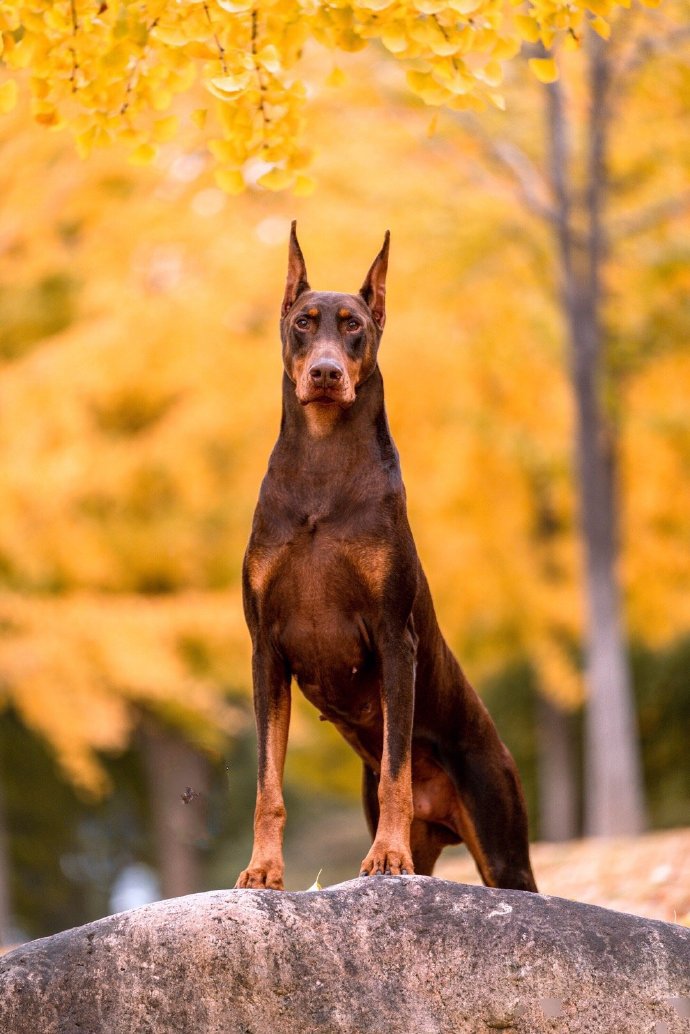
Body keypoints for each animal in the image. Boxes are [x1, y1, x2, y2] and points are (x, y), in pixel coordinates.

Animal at [237, 224, 537, 889]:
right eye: (303, 322)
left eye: (353, 325)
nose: (325, 373)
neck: (322, 467)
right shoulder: (266, 650)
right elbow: (268, 783)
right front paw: (262, 869)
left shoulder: (395, 638)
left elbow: (396, 765)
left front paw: (386, 857)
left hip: (501, 833)